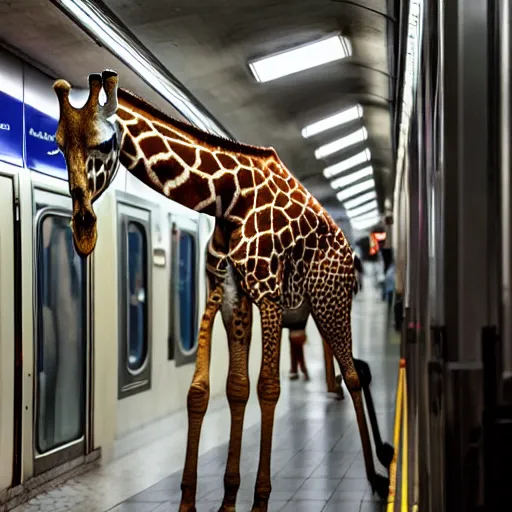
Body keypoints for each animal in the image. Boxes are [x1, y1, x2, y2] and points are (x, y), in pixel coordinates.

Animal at [53, 70, 388, 510]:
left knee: (353, 374)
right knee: (356, 367)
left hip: (330, 298)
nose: (83, 228)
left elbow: (268, 388)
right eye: (58, 142)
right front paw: (221, 499)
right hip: (313, 307)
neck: (228, 197)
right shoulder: (228, 293)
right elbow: (228, 389)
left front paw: (259, 501)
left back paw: (377, 476)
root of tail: (350, 254)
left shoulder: (267, 293)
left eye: (105, 142)